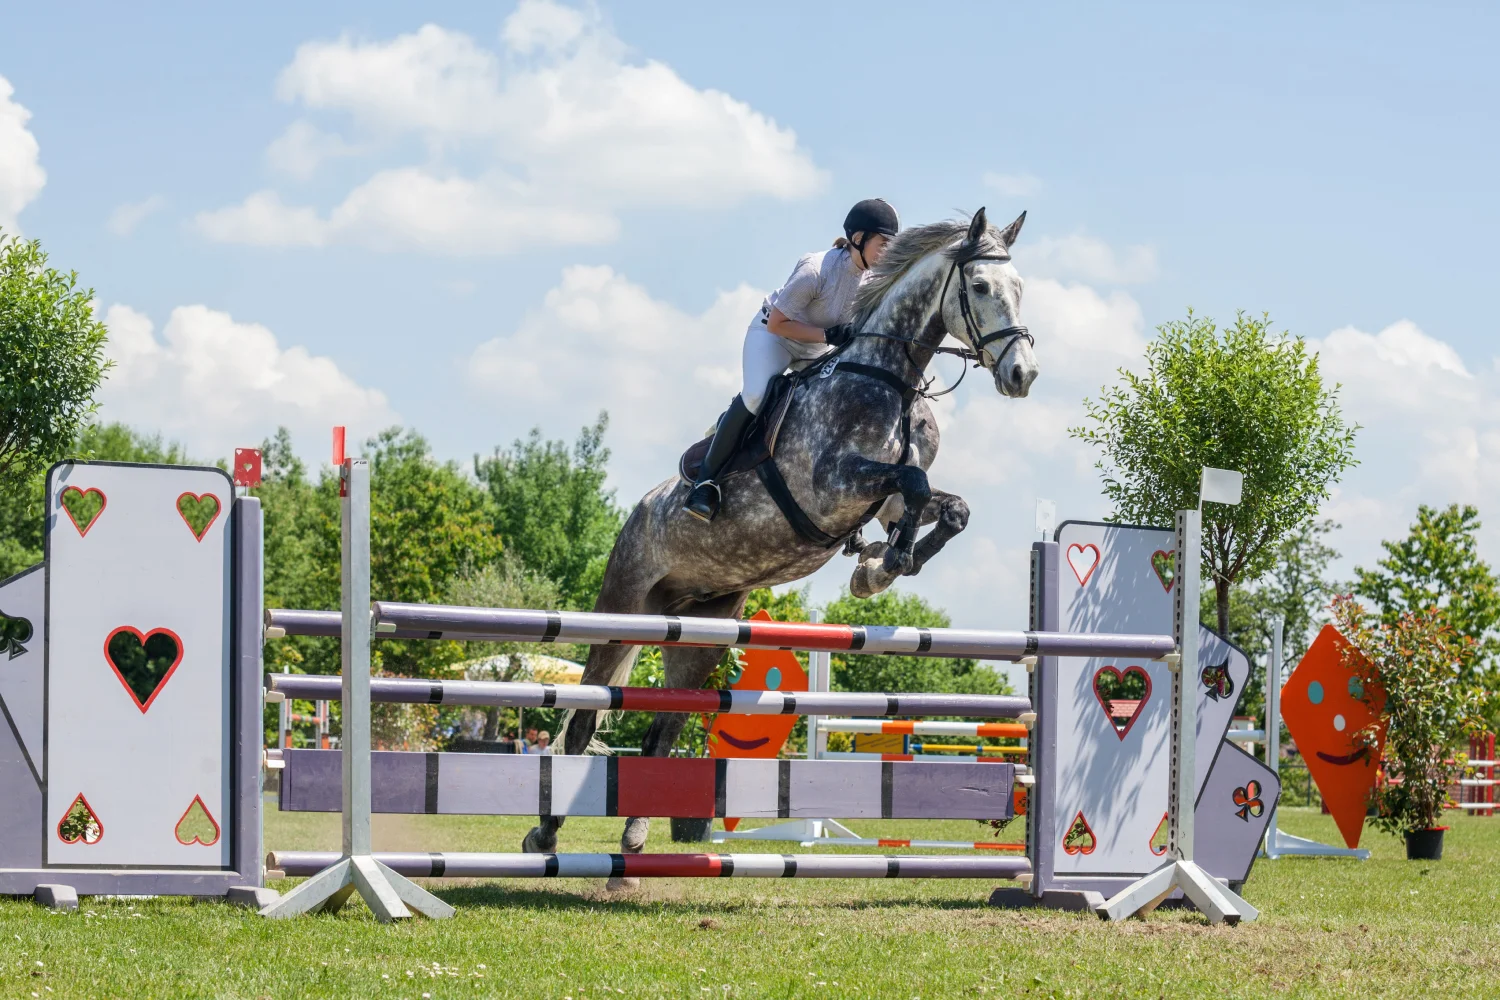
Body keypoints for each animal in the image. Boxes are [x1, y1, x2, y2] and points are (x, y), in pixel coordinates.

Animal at [522, 206, 1038, 881]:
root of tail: (638, 512)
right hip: (622, 610)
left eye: (1020, 288)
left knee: (664, 726)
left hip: (703, 632)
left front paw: (879, 565)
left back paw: (634, 838)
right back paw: (545, 836)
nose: (1022, 375)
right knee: (586, 717)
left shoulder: (880, 495)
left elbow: (947, 506)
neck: (887, 380)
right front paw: (883, 565)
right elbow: (916, 483)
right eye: (978, 287)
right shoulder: (832, 487)